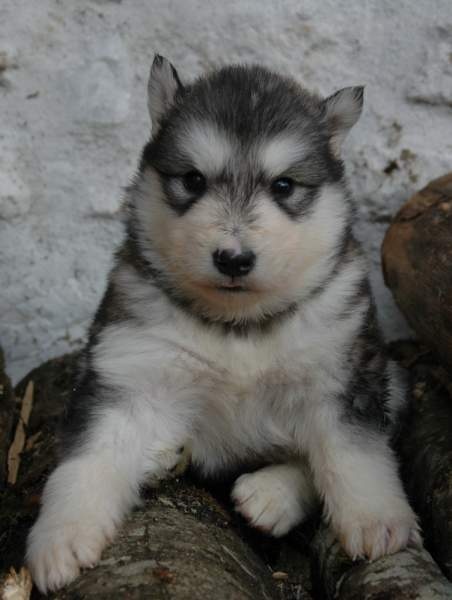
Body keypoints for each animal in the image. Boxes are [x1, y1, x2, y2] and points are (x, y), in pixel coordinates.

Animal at [26, 55, 420, 593]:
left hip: (391, 378)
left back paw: (272, 494)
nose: (233, 258)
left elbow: (352, 452)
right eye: (193, 180)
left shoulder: (344, 373)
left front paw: (377, 519)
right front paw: (61, 536)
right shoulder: (127, 367)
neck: (239, 326)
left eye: (283, 186)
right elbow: (88, 456)